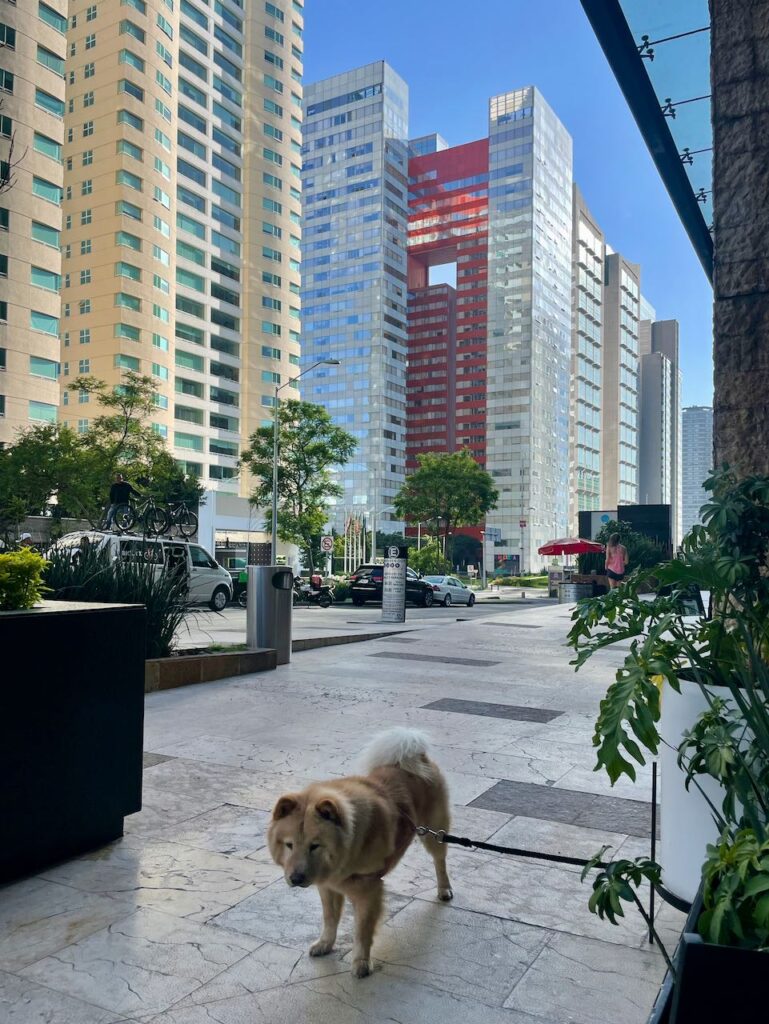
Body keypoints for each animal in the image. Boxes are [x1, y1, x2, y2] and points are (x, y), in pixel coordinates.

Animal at [268, 729, 454, 974]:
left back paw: (444, 890)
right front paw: (325, 944)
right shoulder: (328, 886)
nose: (296, 878)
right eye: (289, 845)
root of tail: (415, 755)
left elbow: (362, 931)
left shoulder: (368, 889)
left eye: (314, 846)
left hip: (434, 832)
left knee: (439, 861)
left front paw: (361, 963)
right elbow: (330, 919)